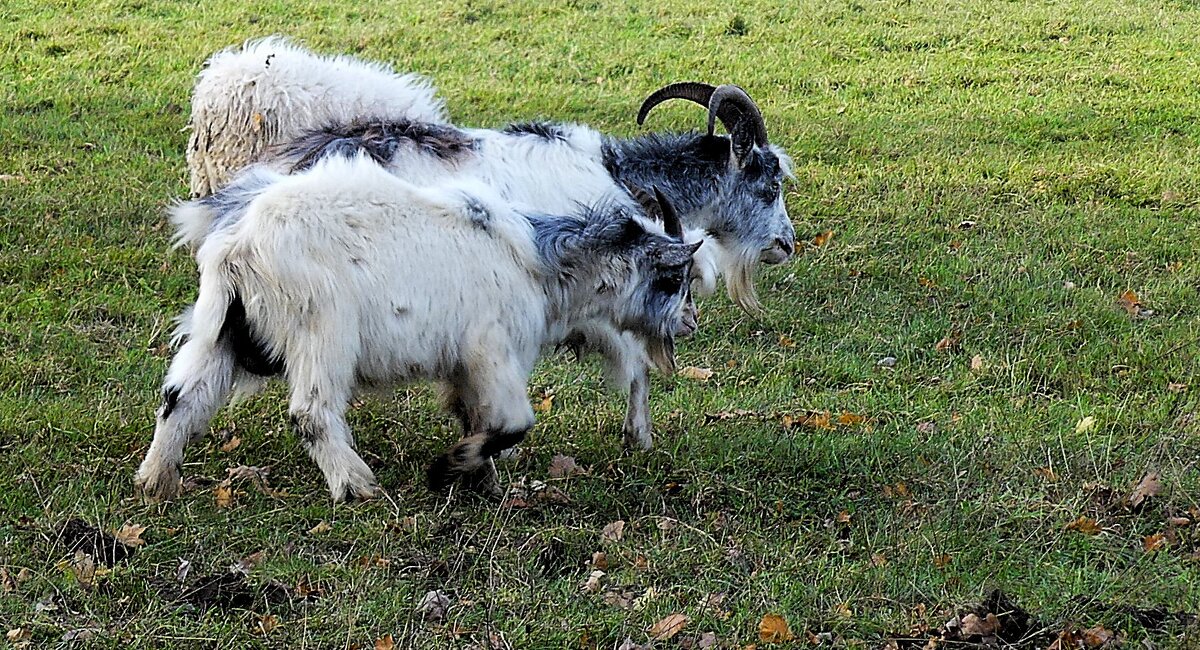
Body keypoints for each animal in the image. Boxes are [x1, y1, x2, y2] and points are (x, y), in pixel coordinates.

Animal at [132, 158, 700, 503]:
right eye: (674, 279)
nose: (691, 323)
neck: (538, 265)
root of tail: (239, 247)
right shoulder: (491, 349)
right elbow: (513, 422)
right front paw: (447, 469)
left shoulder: (465, 369)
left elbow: (476, 417)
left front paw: (481, 481)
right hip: (323, 330)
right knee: (310, 412)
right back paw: (357, 485)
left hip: (218, 331)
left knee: (180, 398)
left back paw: (157, 481)